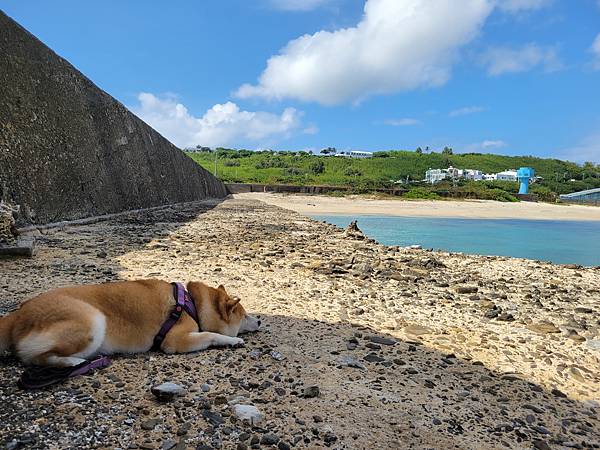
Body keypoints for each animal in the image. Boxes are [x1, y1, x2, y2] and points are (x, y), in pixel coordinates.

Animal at [0, 280, 258, 368]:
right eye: (245, 315)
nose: (258, 319)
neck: (191, 303)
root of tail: (18, 314)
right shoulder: (175, 339)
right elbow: (210, 335)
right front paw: (233, 340)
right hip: (93, 320)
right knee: (36, 358)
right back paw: (74, 362)